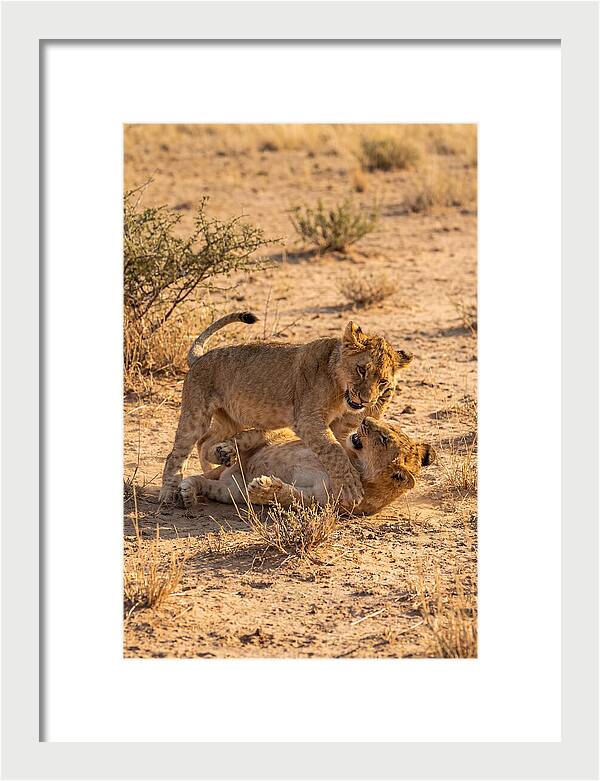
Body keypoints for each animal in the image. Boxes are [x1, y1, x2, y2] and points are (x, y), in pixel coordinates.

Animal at [159, 312, 413, 506]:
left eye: (383, 382)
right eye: (361, 370)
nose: (366, 400)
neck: (340, 389)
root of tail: (200, 357)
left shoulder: (340, 425)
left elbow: (340, 447)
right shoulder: (308, 419)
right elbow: (334, 450)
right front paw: (351, 486)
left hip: (231, 418)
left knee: (205, 442)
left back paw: (218, 462)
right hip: (196, 413)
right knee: (177, 453)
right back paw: (169, 493)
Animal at [179, 417, 436, 516]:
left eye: (383, 439)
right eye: (387, 426)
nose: (364, 419)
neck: (355, 464)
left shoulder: (318, 501)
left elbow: (290, 496)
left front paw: (264, 488)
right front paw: (226, 450)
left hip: (230, 491)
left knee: (206, 483)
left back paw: (188, 493)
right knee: (249, 438)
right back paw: (221, 454)